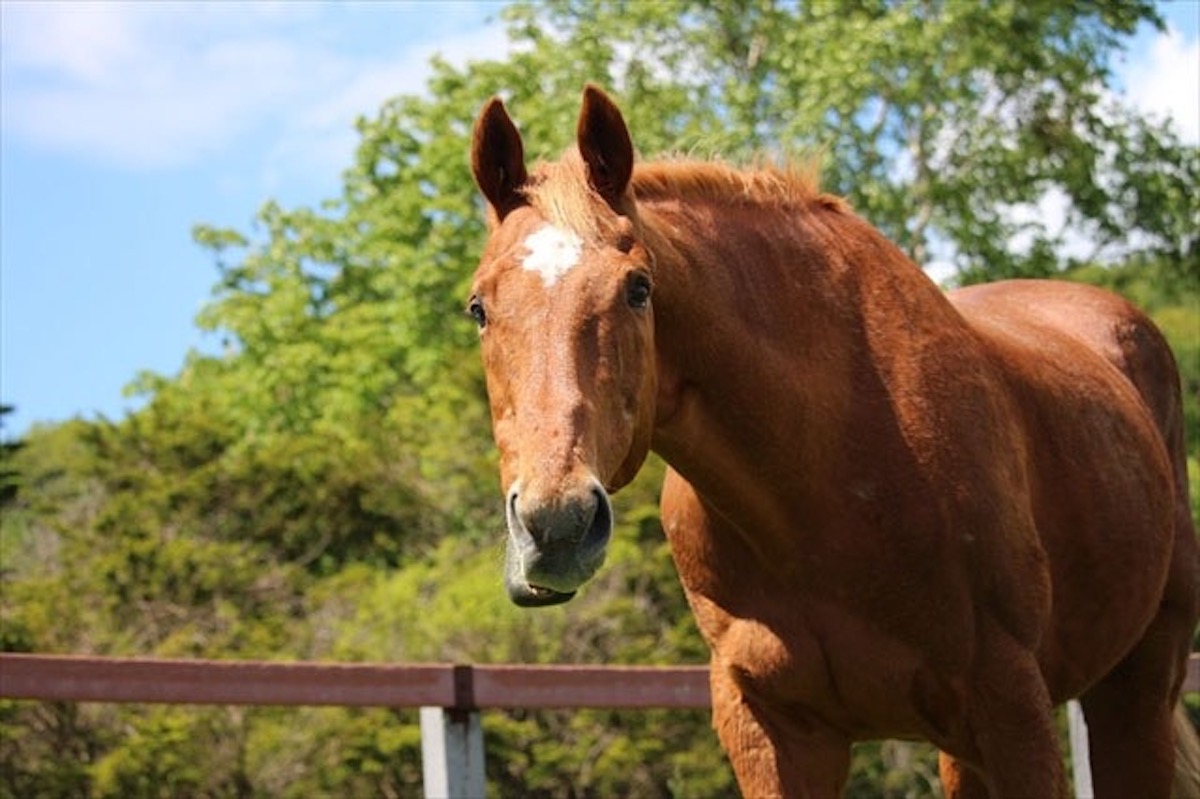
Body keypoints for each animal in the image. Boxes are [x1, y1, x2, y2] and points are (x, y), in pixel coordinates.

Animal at [463, 83, 1195, 791]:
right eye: (478, 307)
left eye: (639, 288)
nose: (556, 523)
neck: (818, 490)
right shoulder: (768, 724)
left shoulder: (1013, 708)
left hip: (1135, 692)